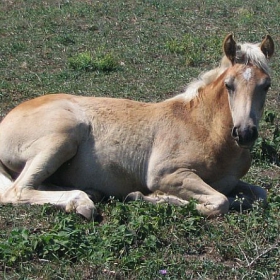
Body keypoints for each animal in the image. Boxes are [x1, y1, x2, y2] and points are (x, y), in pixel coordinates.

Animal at [0, 34, 274, 220]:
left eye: (266, 85)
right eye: (229, 85)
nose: (245, 133)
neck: (205, 128)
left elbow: (259, 195)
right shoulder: (166, 174)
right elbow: (219, 202)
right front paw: (150, 197)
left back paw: (90, 193)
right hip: (63, 136)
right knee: (17, 190)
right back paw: (82, 202)